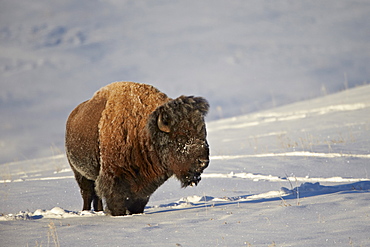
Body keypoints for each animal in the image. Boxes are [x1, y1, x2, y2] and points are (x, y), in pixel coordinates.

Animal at [65, 81, 210, 216]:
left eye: (203, 134)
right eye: (180, 137)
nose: (203, 161)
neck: (144, 132)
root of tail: (72, 116)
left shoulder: (144, 188)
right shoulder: (114, 180)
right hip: (79, 173)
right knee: (87, 193)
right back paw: (86, 212)